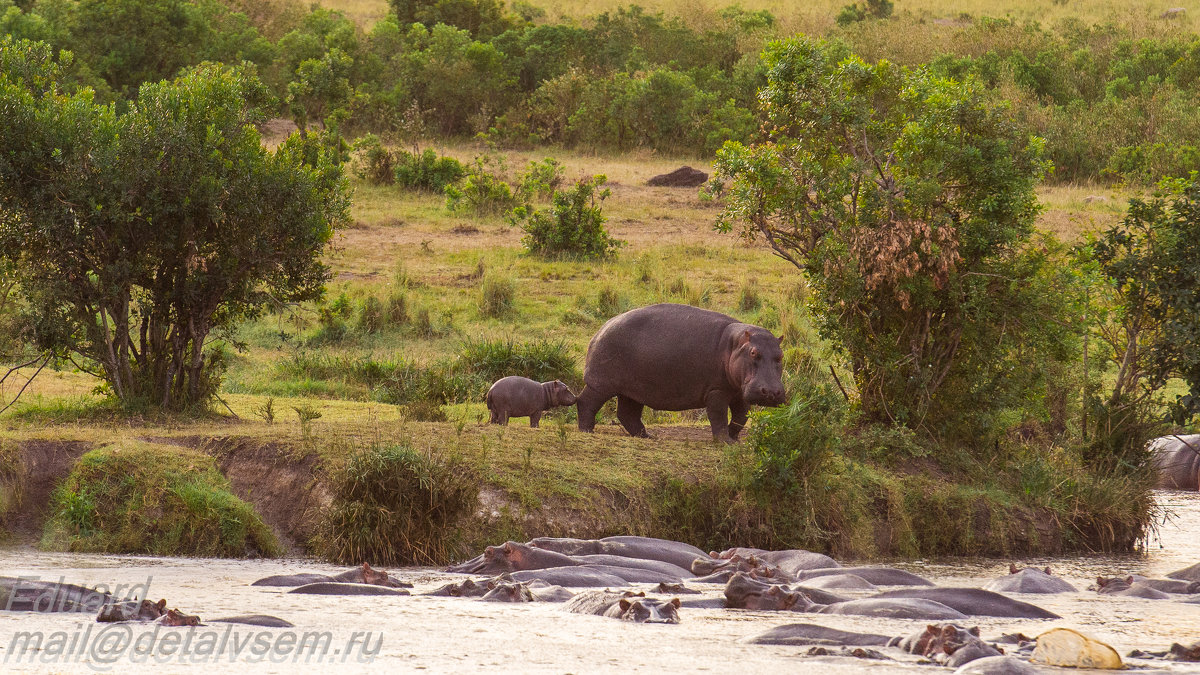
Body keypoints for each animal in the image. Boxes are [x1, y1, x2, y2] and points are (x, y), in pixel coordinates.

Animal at [578, 300, 787, 439]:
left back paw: (648, 436)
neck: (735, 345)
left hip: (632, 390)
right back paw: (587, 430)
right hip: (601, 383)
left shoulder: (739, 392)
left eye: (781, 355)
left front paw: (733, 438)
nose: (771, 392)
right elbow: (718, 416)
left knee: (627, 413)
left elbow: (740, 417)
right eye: (753, 352)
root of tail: (602, 328)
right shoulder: (717, 390)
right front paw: (724, 441)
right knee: (587, 401)